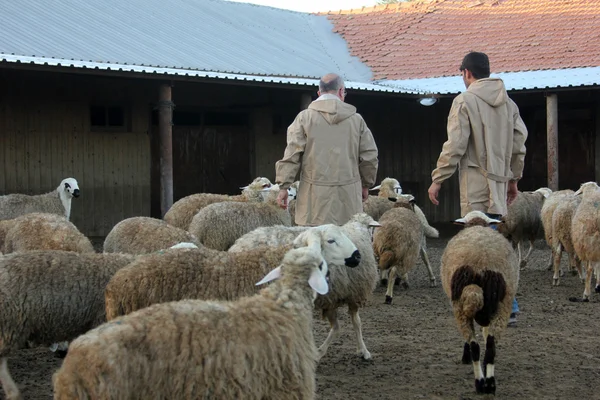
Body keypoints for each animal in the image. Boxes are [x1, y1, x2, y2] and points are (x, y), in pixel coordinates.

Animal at [227, 212, 378, 360]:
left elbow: (341, 325)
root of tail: (237, 246)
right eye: (330, 241)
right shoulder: (353, 294)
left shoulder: (334, 298)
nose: (357, 257)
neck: (358, 230)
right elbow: (355, 323)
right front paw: (363, 350)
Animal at [440, 211, 520, 396]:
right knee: (490, 346)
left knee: (475, 346)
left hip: (460, 306)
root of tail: (480, 264)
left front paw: (466, 356)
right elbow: (485, 334)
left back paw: (480, 383)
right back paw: (490, 384)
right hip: (502, 305)